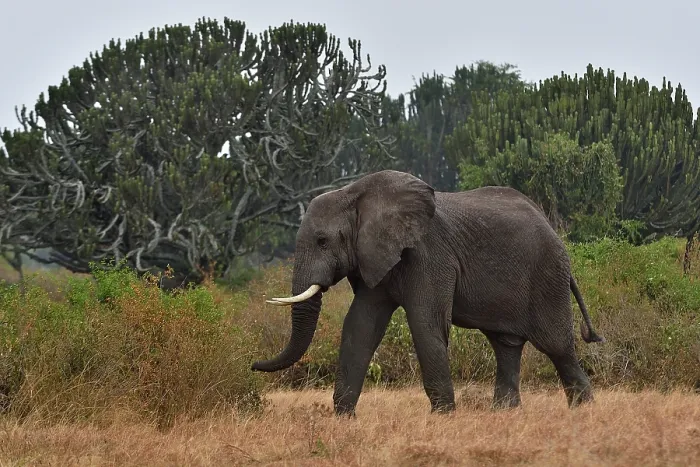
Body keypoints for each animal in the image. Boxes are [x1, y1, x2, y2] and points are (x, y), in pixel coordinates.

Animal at [251, 170, 605, 416]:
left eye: (323, 241)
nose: (253, 365)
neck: (355, 194)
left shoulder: (429, 255)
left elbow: (425, 324)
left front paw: (443, 417)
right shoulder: (376, 259)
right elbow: (360, 326)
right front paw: (343, 419)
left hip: (548, 275)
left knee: (557, 346)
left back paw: (584, 412)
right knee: (505, 345)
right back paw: (505, 414)